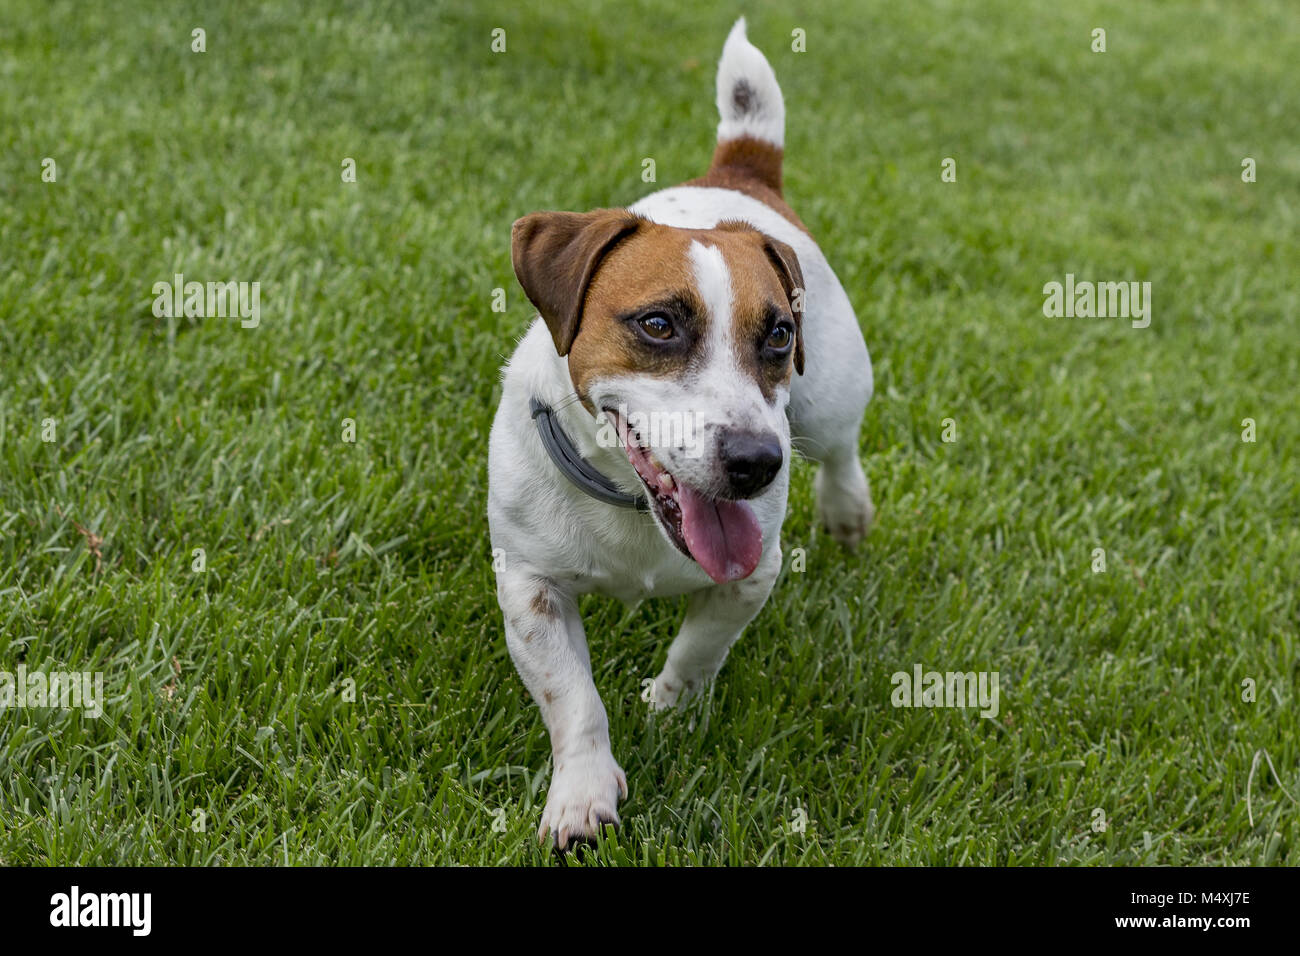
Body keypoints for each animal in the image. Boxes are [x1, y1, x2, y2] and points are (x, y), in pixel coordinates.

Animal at [488, 18, 873, 848]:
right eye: (658, 325)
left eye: (777, 334)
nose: (758, 462)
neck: (632, 509)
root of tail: (739, 174)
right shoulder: (531, 588)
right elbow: (574, 699)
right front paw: (583, 794)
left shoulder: (750, 576)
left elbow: (700, 650)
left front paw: (670, 709)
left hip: (830, 398)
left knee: (842, 449)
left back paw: (847, 510)